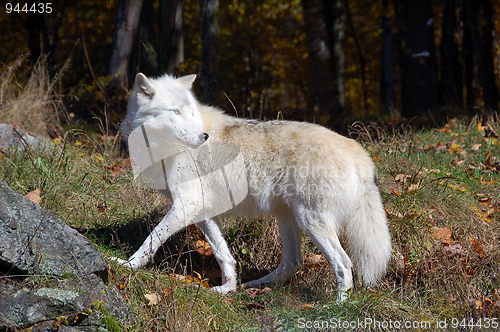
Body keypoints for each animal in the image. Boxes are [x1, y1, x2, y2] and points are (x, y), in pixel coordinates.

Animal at [117, 74, 390, 302]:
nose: (203, 137)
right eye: (175, 111)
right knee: (293, 262)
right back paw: (255, 285)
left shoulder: (187, 204)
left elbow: (151, 239)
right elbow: (224, 255)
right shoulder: (201, 211)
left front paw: (126, 265)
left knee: (343, 264)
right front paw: (227, 288)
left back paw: (338, 306)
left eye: (191, 113)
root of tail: (359, 153)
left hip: (310, 221)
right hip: (289, 219)